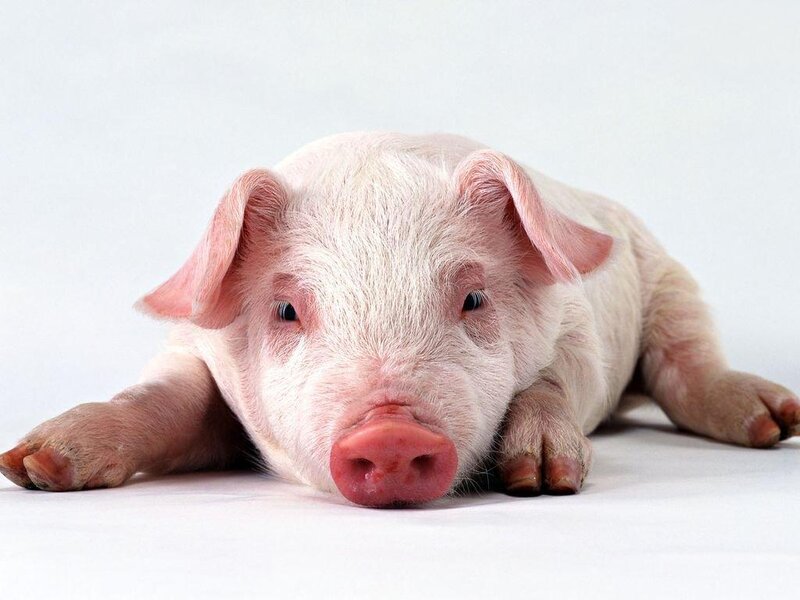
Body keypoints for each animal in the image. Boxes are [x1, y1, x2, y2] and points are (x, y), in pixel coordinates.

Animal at [1, 132, 798, 507]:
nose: (390, 433)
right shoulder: (194, 349)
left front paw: (541, 479)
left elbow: (550, 382)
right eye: (286, 309)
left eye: (474, 299)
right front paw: (34, 467)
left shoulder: (578, 334)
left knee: (687, 362)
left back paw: (774, 421)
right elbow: (165, 398)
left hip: (669, 277)